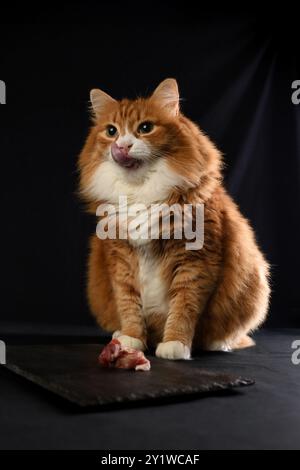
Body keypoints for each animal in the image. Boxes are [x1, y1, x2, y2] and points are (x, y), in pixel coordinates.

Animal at [78, 79, 270, 360]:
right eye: (111, 131)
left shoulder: (195, 260)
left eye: (145, 128)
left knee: (229, 334)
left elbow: (183, 307)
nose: (122, 146)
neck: (140, 192)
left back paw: (217, 344)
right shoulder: (120, 258)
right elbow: (128, 304)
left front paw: (175, 345)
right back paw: (120, 334)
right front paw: (132, 338)